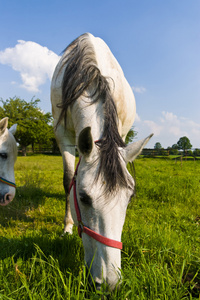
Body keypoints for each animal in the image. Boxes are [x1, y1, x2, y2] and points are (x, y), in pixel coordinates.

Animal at [50, 33, 152, 290]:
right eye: (83, 198)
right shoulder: (63, 135)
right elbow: (68, 179)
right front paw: (67, 227)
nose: (110, 283)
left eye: (129, 198)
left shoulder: (120, 133)